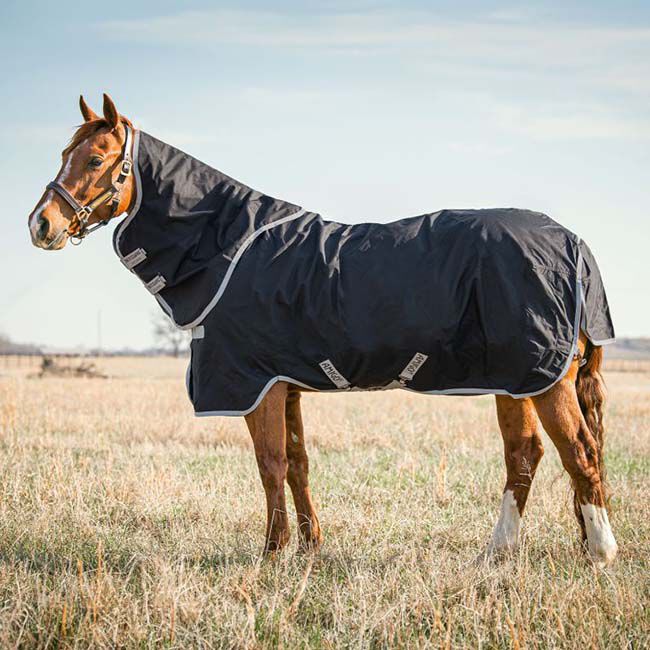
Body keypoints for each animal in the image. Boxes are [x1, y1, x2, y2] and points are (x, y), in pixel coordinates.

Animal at [27, 94, 618, 566]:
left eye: (96, 159)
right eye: (63, 156)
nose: (41, 224)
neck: (228, 245)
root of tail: (574, 244)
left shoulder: (257, 386)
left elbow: (270, 465)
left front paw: (272, 553)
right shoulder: (284, 385)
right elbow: (298, 464)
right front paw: (310, 547)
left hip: (543, 378)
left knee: (579, 453)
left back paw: (600, 551)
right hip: (515, 380)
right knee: (526, 455)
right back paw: (496, 552)